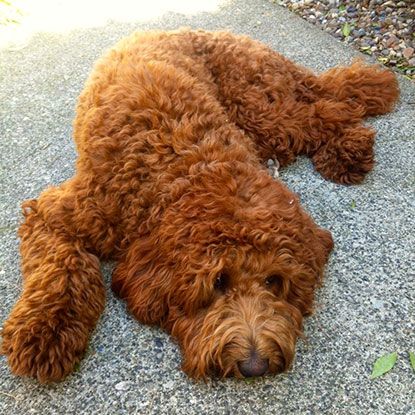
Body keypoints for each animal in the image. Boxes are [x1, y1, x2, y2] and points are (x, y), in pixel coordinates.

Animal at [0, 30, 400, 384]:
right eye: (218, 281)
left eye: (274, 281)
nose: (255, 366)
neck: (184, 163)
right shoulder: (60, 213)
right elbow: (61, 267)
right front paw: (45, 330)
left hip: (260, 107)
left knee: (328, 109)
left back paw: (349, 149)